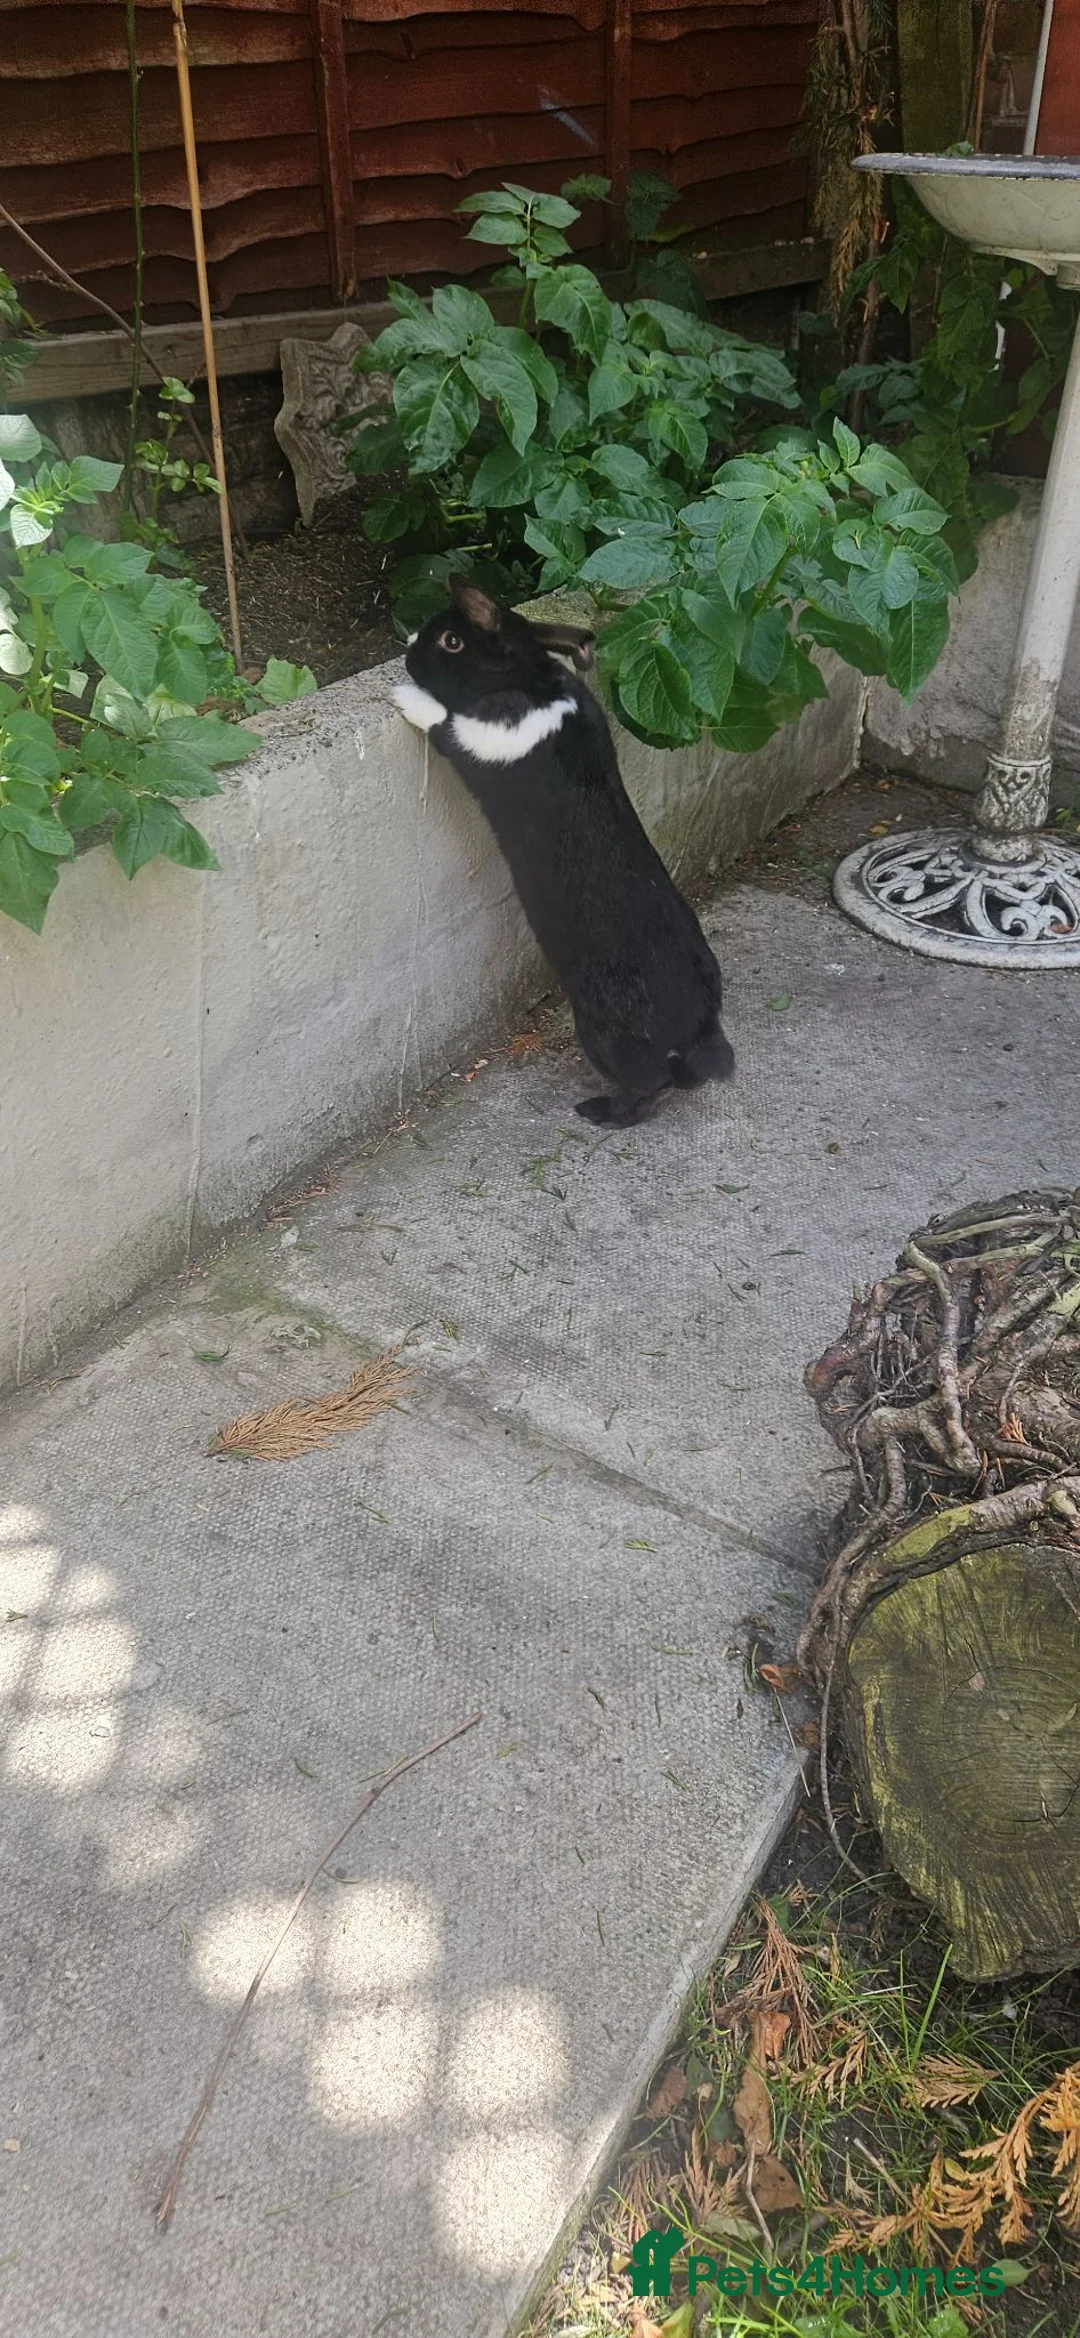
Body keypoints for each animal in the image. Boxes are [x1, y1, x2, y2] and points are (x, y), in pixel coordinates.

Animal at [393, 577, 734, 1127]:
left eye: (452, 641)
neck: (534, 686)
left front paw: (407, 697)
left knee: (646, 1086)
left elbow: (446, 723)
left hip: (603, 1033)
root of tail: (699, 1025)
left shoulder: (479, 740)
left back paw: (601, 1112)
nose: (406, 652)